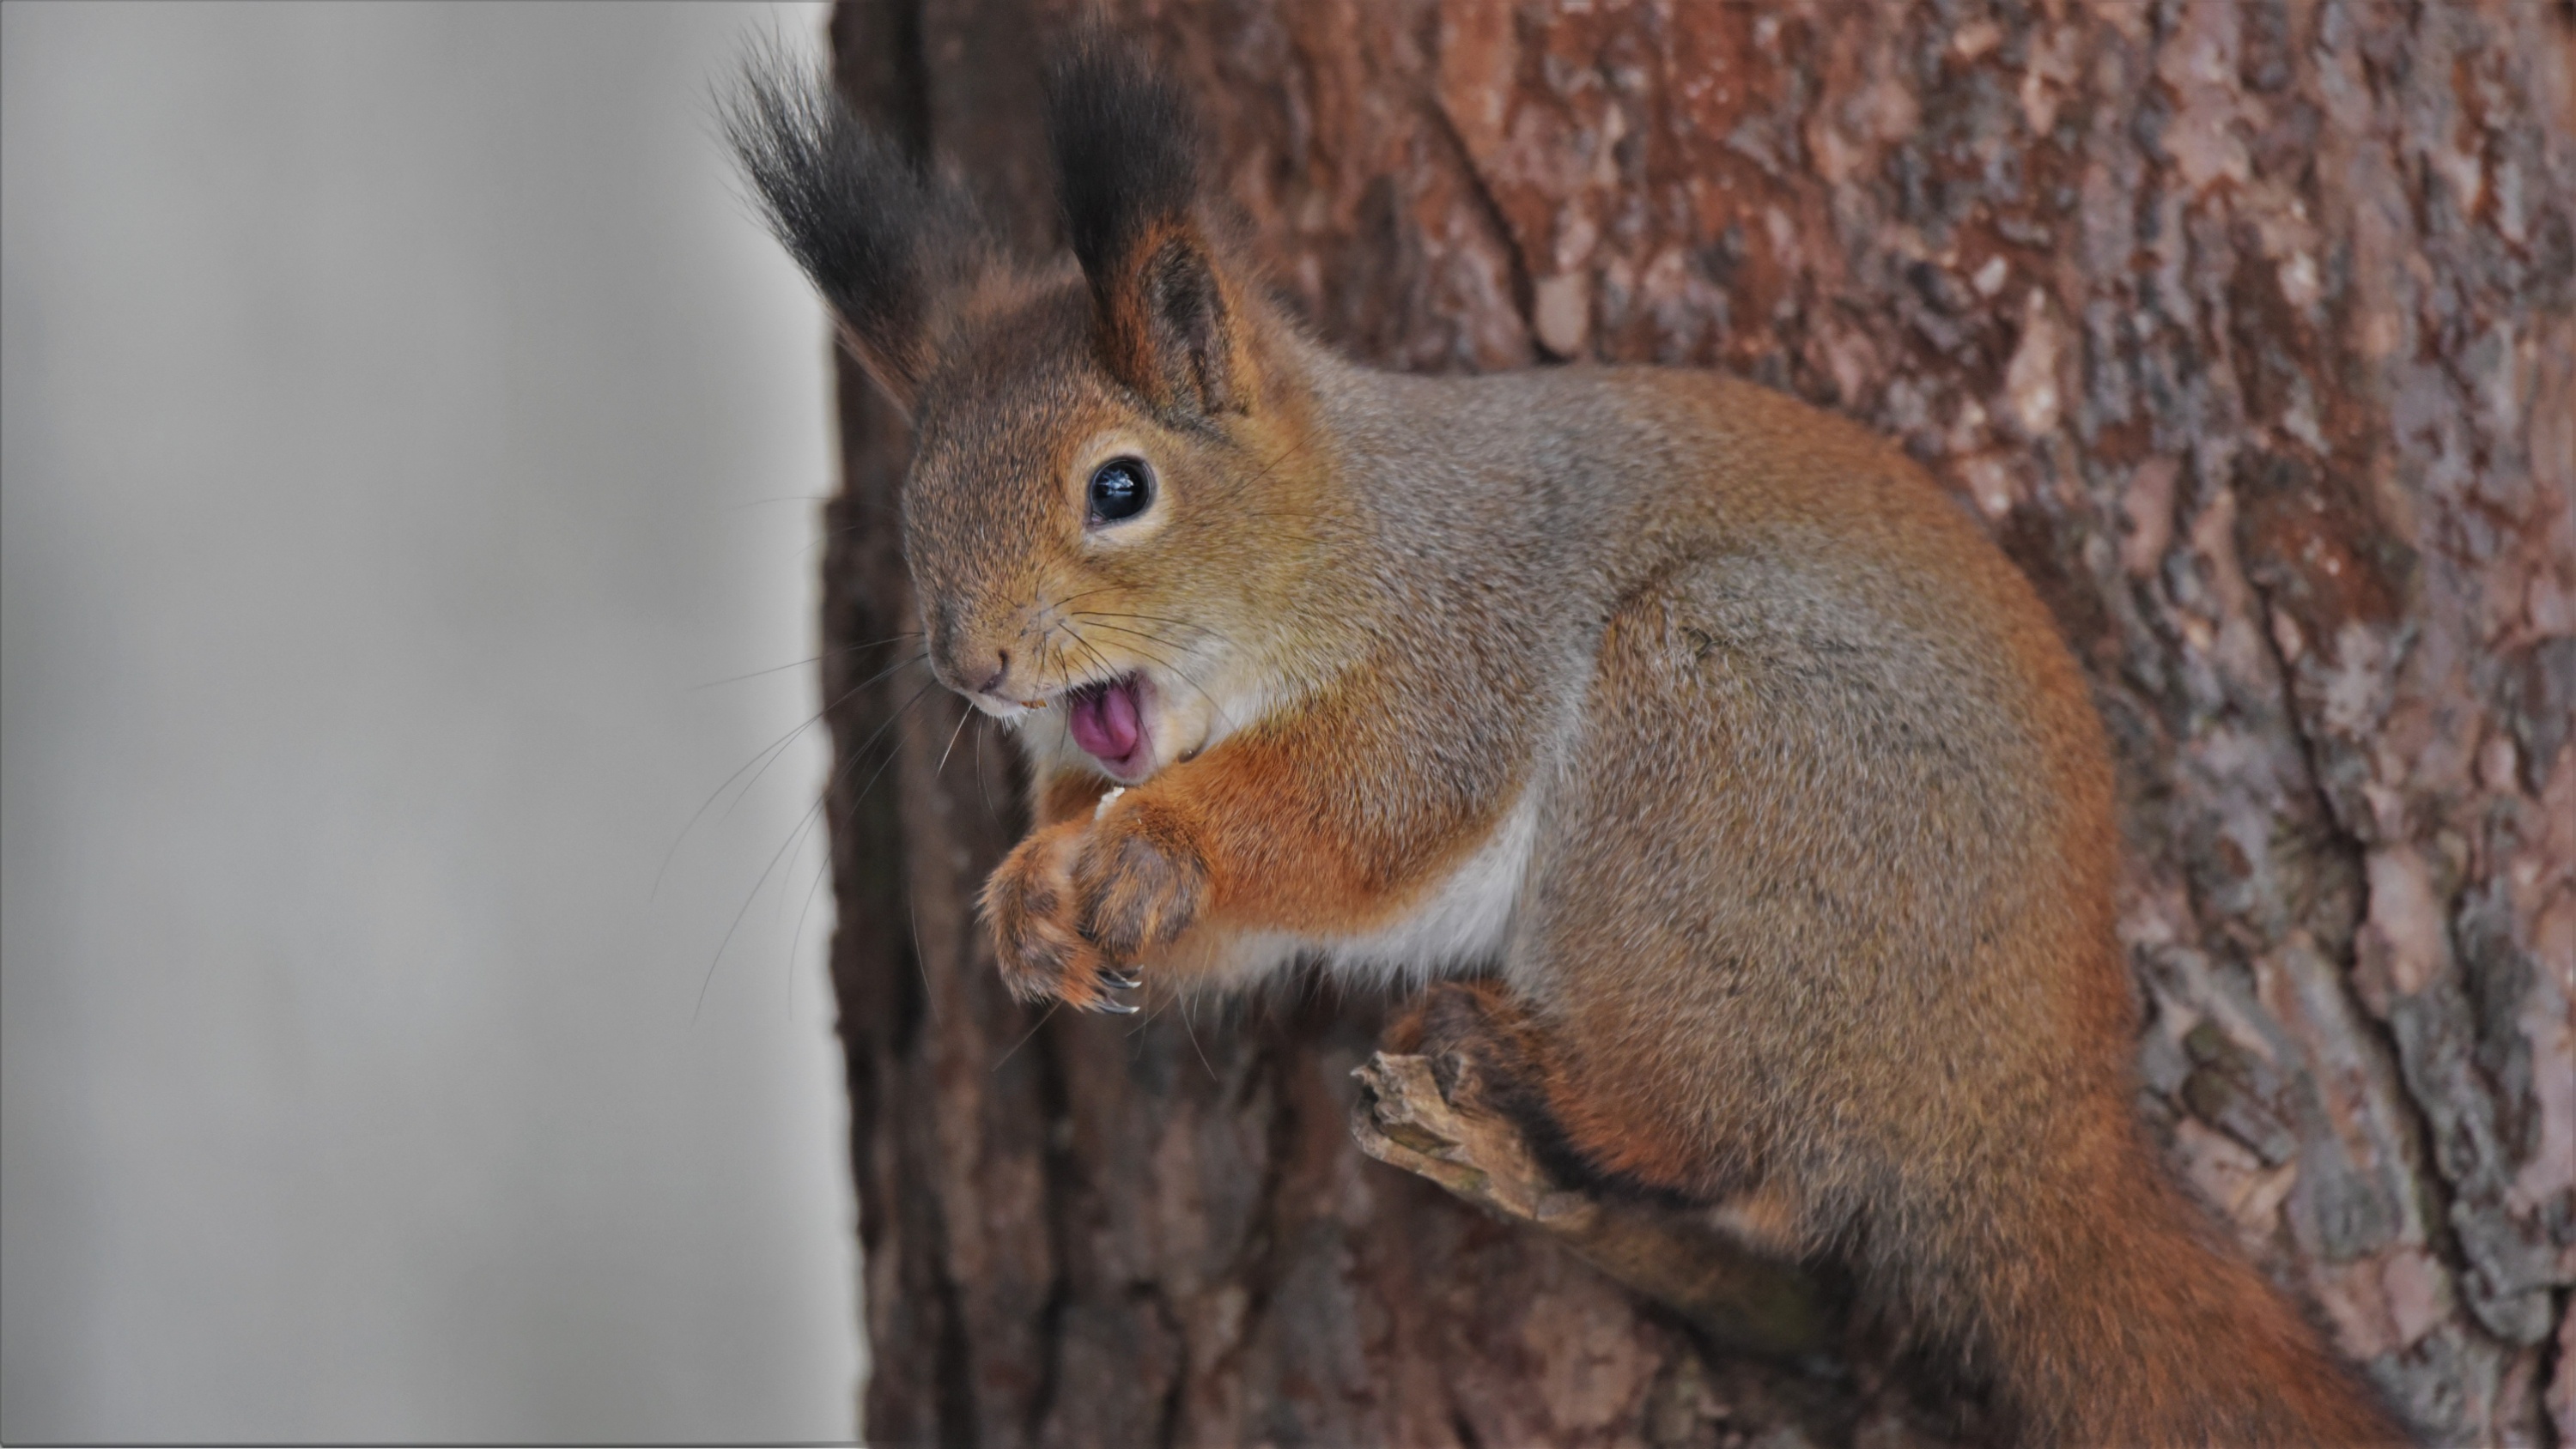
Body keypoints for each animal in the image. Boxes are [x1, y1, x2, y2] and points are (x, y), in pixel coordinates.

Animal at [732, 36, 2411, 1449]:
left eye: (1121, 488)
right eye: (913, 499)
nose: (971, 663)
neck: (1344, 534)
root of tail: (2029, 1106)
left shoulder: (1461, 649)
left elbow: (1363, 809)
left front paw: (1158, 842)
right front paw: (1031, 894)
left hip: (1717, 731)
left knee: (1721, 1130)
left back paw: (1528, 1063)